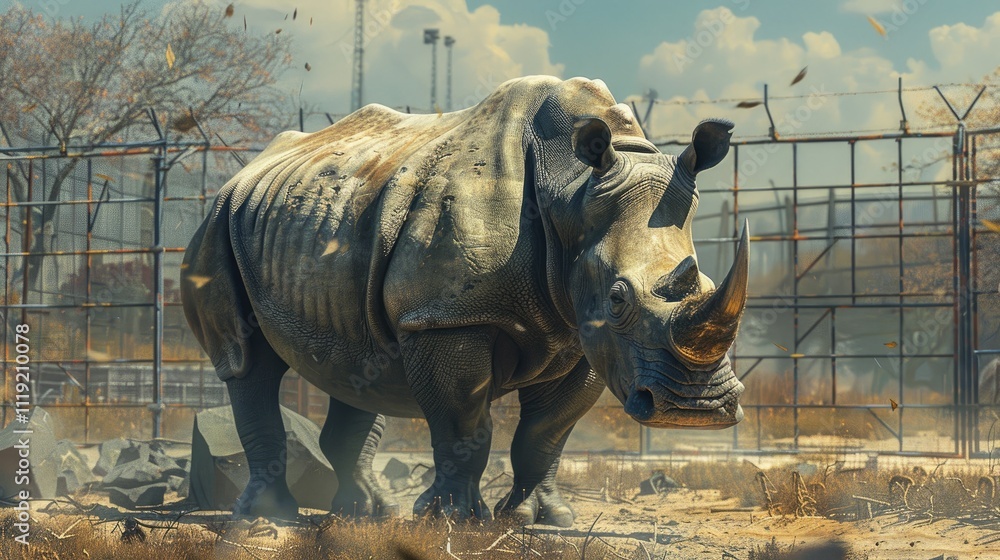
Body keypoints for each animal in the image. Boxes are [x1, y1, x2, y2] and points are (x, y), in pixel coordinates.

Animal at [181, 76, 749, 526]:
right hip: (217, 224)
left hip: (328, 216)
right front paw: (450, 518)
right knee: (246, 361)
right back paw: (269, 516)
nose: (695, 410)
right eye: (617, 300)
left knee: (358, 363)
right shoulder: (447, 318)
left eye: (706, 284)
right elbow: (464, 424)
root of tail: (250, 167)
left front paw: (543, 519)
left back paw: (365, 513)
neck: (569, 189)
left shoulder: (581, 334)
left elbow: (546, 433)